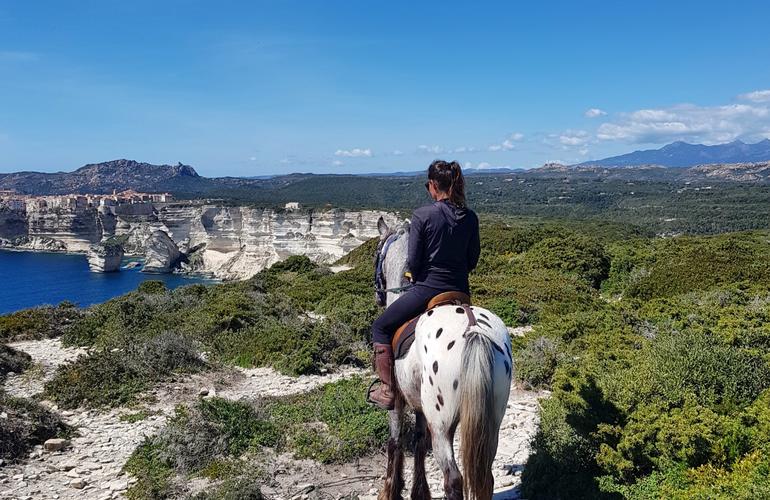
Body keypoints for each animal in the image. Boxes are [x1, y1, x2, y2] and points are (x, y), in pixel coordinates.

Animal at [370, 218, 510, 500]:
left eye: (377, 253)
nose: (377, 294)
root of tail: (474, 330)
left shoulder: (397, 401)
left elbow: (395, 442)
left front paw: (391, 490)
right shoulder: (420, 407)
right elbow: (419, 444)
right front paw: (418, 492)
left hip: (442, 426)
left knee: (453, 479)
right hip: (491, 422)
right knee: (486, 477)